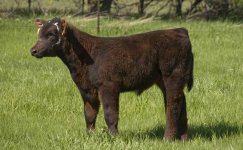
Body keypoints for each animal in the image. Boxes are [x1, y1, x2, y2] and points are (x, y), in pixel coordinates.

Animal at [30, 17, 194, 141]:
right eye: (39, 34)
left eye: (51, 34)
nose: (33, 50)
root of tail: (179, 30)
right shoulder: (86, 90)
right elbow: (89, 114)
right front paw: (90, 137)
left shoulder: (108, 86)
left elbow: (110, 114)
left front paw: (115, 138)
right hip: (165, 80)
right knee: (182, 103)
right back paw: (183, 138)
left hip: (172, 76)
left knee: (173, 105)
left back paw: (168, 138)